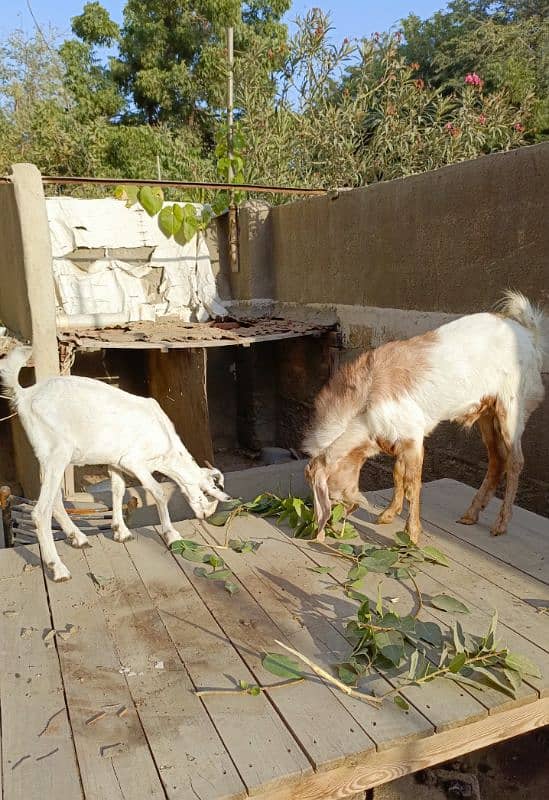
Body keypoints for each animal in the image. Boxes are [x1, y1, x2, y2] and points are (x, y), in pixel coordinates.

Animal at [0, 350, 227, 580]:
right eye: (208, 492)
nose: (206, 515)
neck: (166, 448)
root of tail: (26, 396)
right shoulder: (134, 461)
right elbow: (158, 492)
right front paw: (171, 535)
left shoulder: (116, 463)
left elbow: (118, 490)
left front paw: (121, 531)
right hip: (57, 454)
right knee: (41, 511)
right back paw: (58, 568)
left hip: (50, 459)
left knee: (54, 500)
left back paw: (78, 538)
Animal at [302, 294, 544, 544]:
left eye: (328, 493)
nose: (337, 518)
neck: (364, 405)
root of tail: (529, 335)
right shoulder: (397, 440)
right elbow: (397, 474)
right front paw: (387, 515)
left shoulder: (413, 438)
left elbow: (412, 484)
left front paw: (412, 535)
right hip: (487, 412)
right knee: (497, 459)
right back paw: (470, 515)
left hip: (511, 408)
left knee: (515, 461)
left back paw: (500, 525)